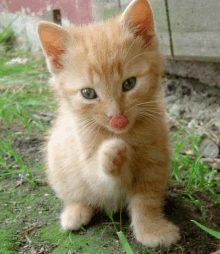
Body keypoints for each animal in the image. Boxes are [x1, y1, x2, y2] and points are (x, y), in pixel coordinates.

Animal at [36, 0, 180, 247]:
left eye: (129, 83)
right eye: (88, 93)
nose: (116, 117)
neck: (127, 134)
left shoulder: (154, 160)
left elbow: (147, 200)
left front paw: (152, 229)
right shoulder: (88, 165)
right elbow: (101, 178)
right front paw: (113, 152)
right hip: (57, 162)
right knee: (72, 193)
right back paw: (75, 213)